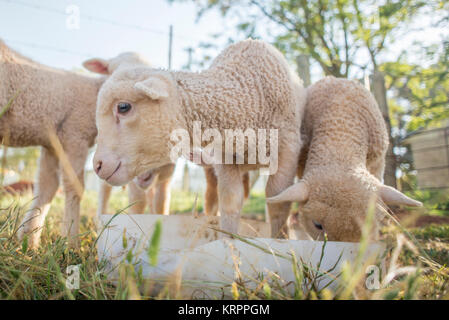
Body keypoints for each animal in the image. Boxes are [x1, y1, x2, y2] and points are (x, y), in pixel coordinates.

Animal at [0, 39, 147, 248]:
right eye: (113, 70)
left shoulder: (52, 143)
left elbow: (46, 188)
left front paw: (29, 242)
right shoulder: (74, 135)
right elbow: (74, 186)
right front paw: (71, 243)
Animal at [93, 38, 306, 236]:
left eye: (123, 107)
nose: (98, 165)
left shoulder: (288, 147)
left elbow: (278, 204)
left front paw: (279, 239)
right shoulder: (225, 157)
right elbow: (230, 201)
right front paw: (229, 240)